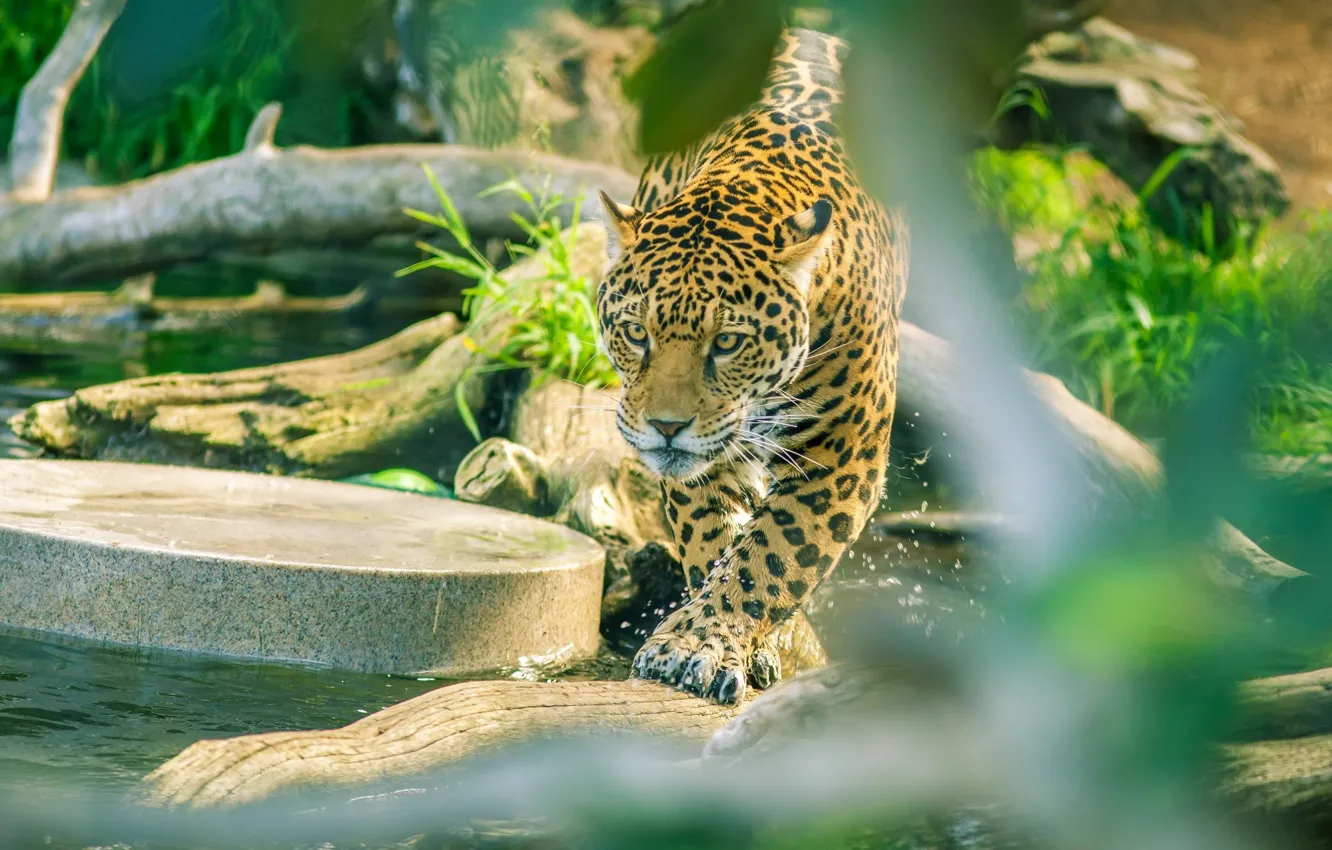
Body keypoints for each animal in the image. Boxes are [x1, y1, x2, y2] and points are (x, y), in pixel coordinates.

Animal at [595, 27, 908, 705]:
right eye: (636, 333)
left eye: (729, 342)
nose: (665, 428)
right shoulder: (705, 460)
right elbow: (716, 537)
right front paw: (717, 641)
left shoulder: (840, 457)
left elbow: (772, 554)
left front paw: (700, 645)